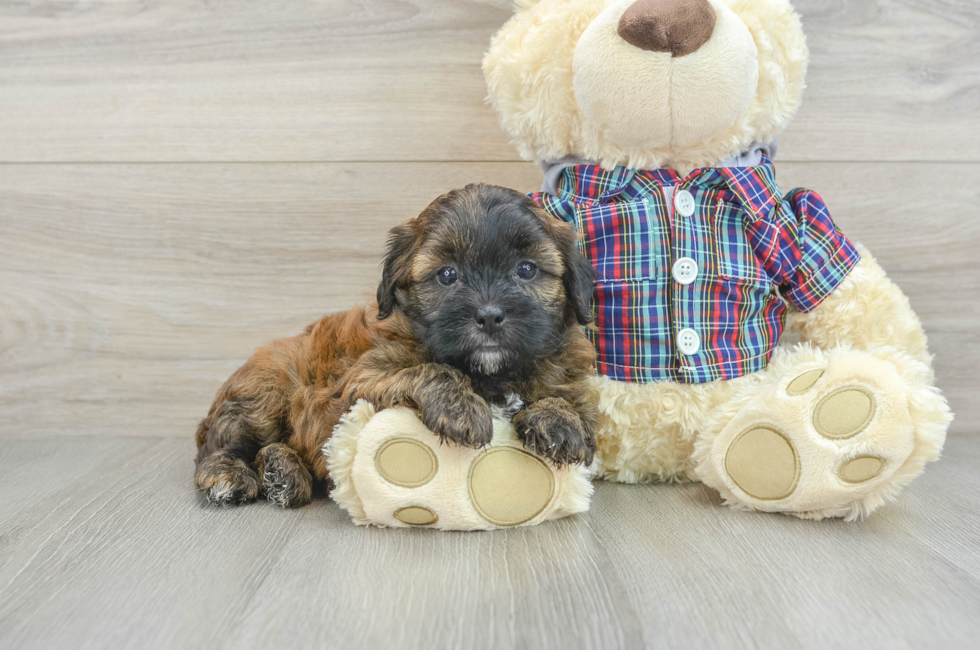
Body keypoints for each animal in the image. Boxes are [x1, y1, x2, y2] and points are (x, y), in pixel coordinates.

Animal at [193, 182, 596, 506]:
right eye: (447, 275)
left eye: (526, 269)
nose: (489, 316)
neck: (492, 374)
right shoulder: (361, 381)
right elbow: (432, 370)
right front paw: (463, 408)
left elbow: (570, 403)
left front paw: (559, 420)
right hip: (266, 394)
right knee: (218, 446)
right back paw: (230, 477)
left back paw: (284, 473)